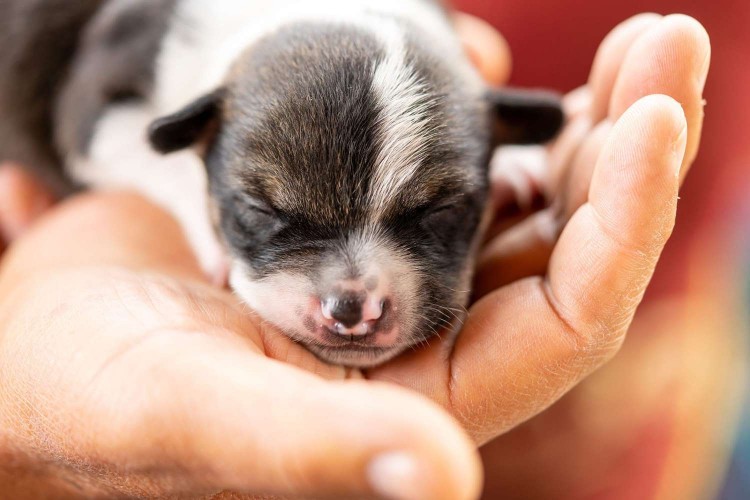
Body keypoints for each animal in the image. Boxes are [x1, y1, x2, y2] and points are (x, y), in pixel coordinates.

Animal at [0, 0, 564, 368]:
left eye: (441, 212)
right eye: (261, 210)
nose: (352, 310)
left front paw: (514, 161)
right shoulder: (90, 112)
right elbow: (163, 155)